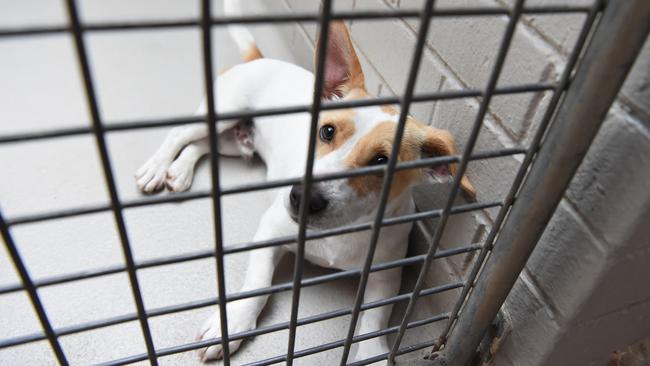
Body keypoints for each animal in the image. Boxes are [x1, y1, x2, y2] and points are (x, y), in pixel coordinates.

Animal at [134, 0, 474, 364]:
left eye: (382, 161)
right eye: (327, 131)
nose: (302, 197)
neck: (339, 234)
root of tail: (260, 59)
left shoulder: (386, 273)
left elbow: (374, 318)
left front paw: (372, 352)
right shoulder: (269, 232)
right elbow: (257, 285)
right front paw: (234, 322)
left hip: (233, 140)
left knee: (200, 146)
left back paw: (180, 171)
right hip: (222, 112)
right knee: (180, 133)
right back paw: (157, 167)